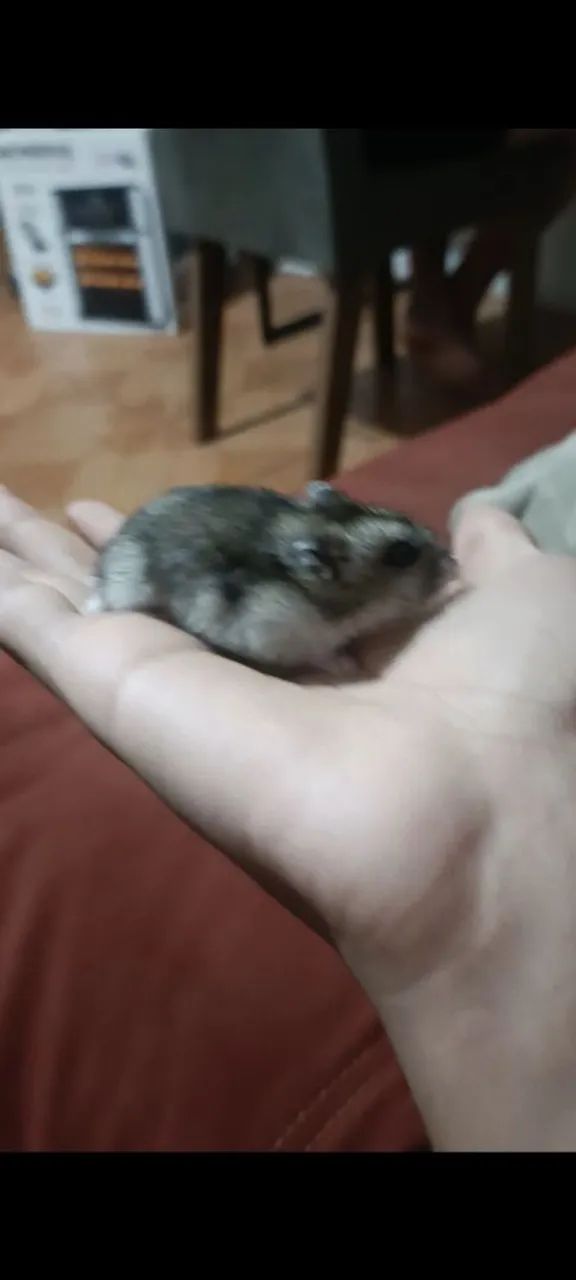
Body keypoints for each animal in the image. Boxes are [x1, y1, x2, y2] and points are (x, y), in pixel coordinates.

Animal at [86, 482, 453, 673]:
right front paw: (348, 666)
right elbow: (321, 655)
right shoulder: (282, 635)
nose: (455, 564)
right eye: (402, 554)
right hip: (128, 582)